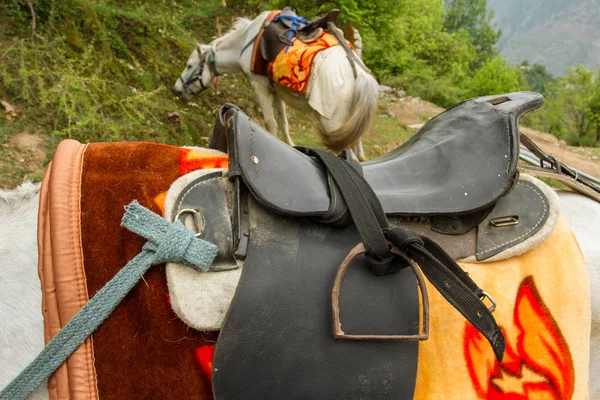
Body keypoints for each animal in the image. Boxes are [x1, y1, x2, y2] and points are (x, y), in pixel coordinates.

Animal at [171, 12, 376, 162]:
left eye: (189, 65)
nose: (176, 90)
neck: (245, 43)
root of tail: (360, 74)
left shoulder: (260, 86)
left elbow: (271, 122)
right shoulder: (276, 91)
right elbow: (284, 122)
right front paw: (290, 147)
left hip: (332, 121)